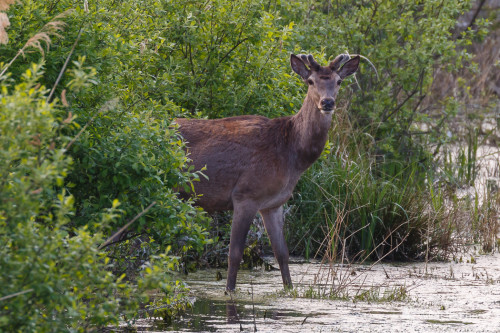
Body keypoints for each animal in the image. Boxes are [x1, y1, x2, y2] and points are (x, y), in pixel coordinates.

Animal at [176, 52, 360, 290]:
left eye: (338, 81)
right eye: (310, 81)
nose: (327, 102)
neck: (292, 156)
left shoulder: (273, 204)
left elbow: (282, 254)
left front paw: (289, 290)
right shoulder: (245, 195)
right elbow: (234, 254)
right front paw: (229, 291)